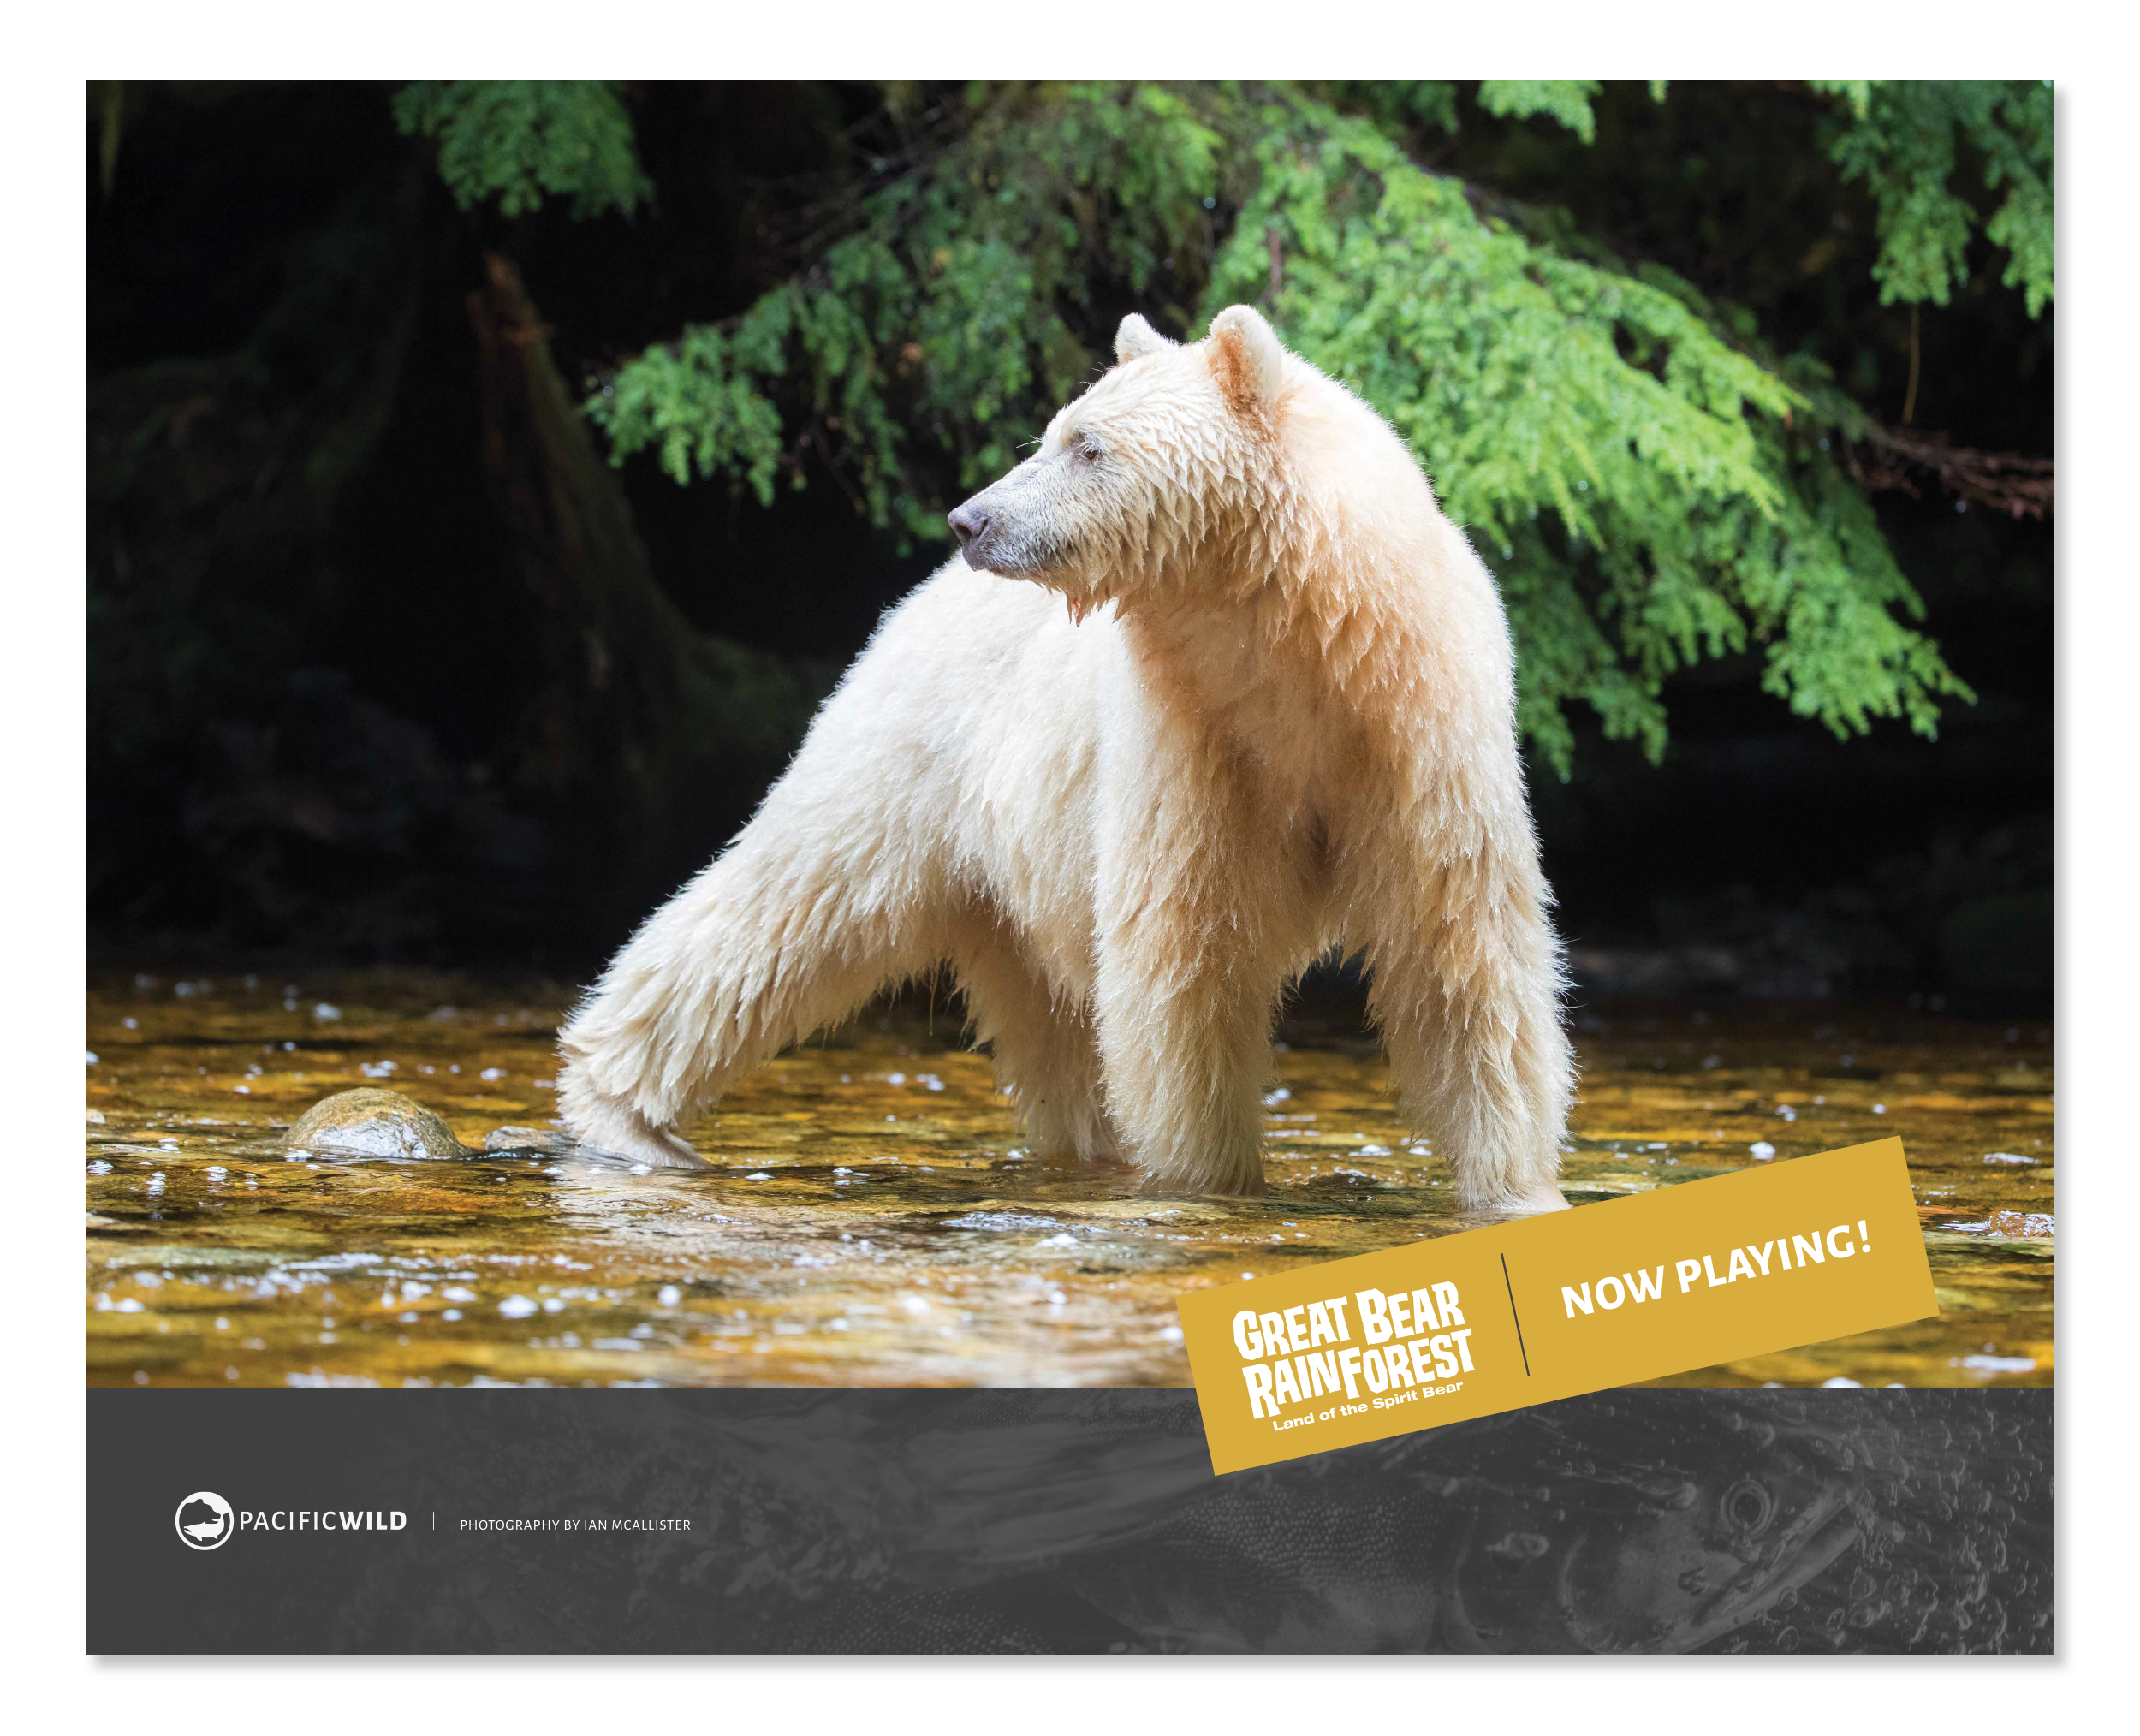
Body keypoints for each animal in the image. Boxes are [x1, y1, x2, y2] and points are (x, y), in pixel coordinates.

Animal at [555, 304, 1573, 1211]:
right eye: (1054, 431)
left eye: (1086, 445)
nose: (970, 519)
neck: (1296, 651)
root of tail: (915, 600)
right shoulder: (1193, 744)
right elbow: (1186, 966)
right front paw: (1207, 1183)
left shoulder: (1419, 748)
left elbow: (1461, 962)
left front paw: (1517, 1187)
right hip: (911, 758)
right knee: (784, 908)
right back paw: (618, 1112)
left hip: (1017, 882)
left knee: (1052, 1031)